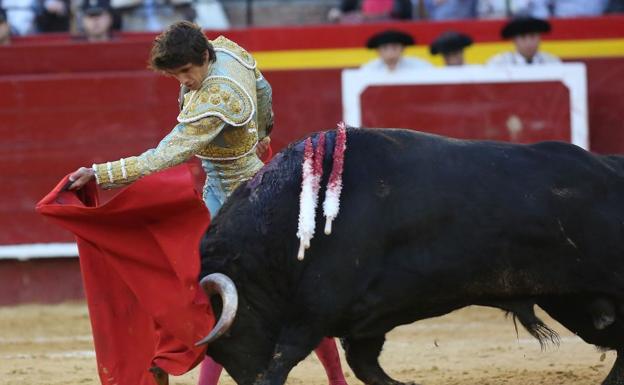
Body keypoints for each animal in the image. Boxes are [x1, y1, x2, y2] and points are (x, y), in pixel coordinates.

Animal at [197, 128, 624, 384]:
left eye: (229, 331)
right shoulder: (363, 320)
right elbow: (365, 365)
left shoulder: (314, 309)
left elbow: (282, 359)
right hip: (575, 302)